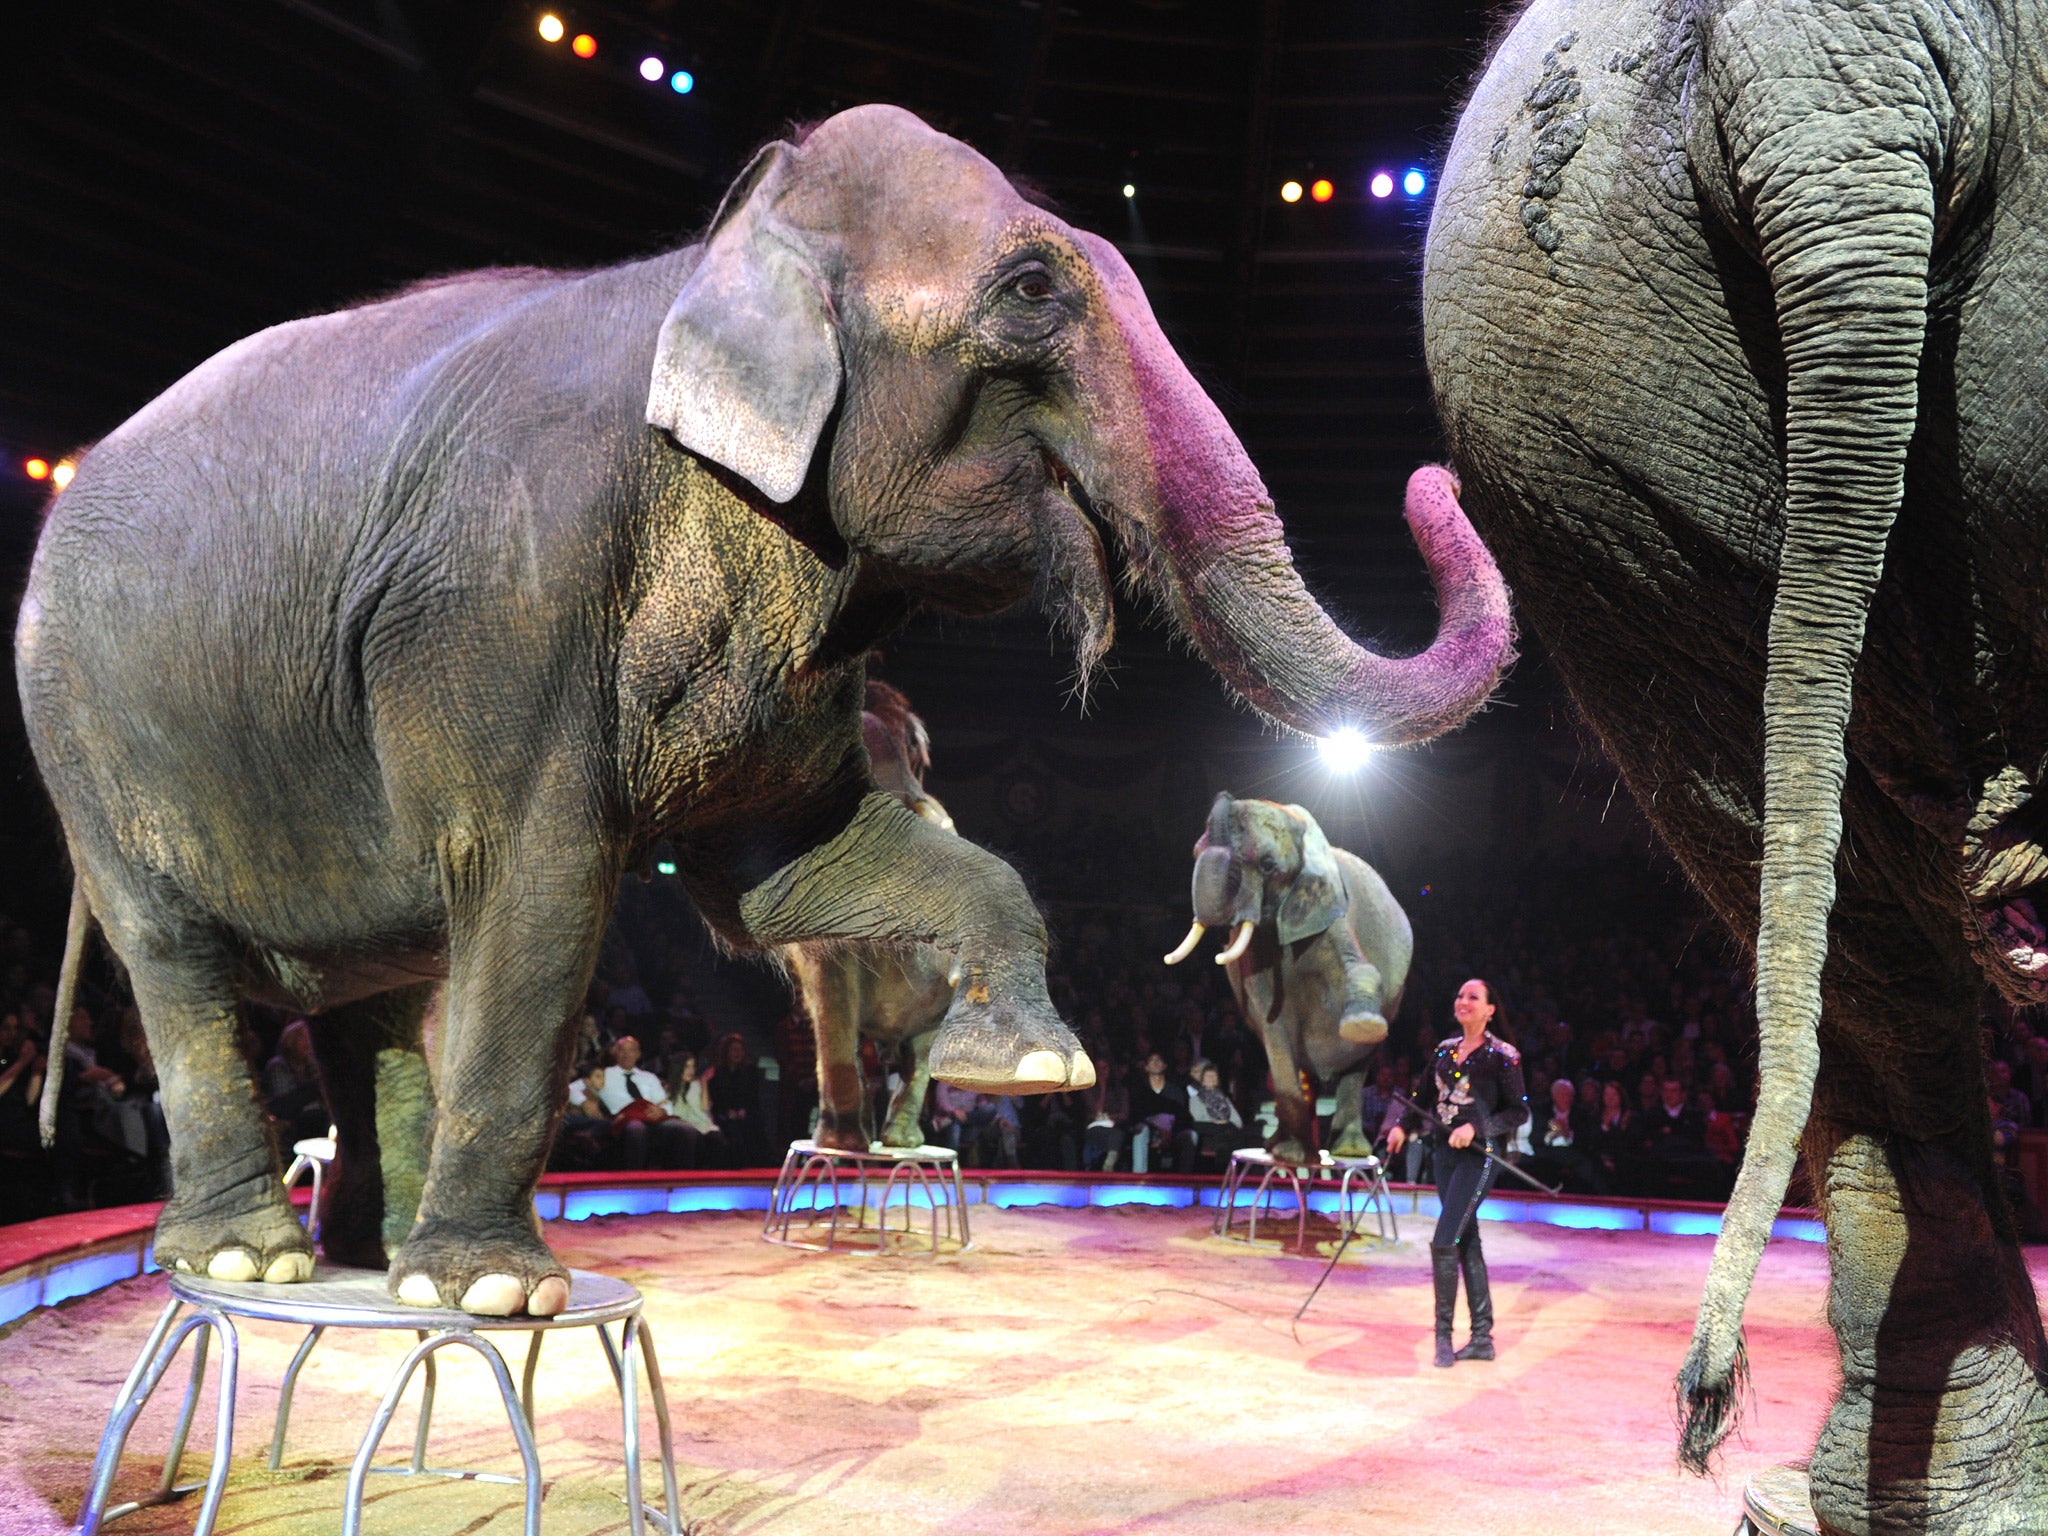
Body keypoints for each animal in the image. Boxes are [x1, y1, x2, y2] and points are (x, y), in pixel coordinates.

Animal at [1171, 794, 1409, 1163]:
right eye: (1196, 853)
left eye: (1269, 866)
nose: (1226, 798)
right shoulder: (1257, 951)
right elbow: (1273, 1026)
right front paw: (1290, 1157)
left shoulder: (1330, 906)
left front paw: (1362, 1023)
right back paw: (1284, 1150)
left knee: (1357, 1067)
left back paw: (1349, 1152)